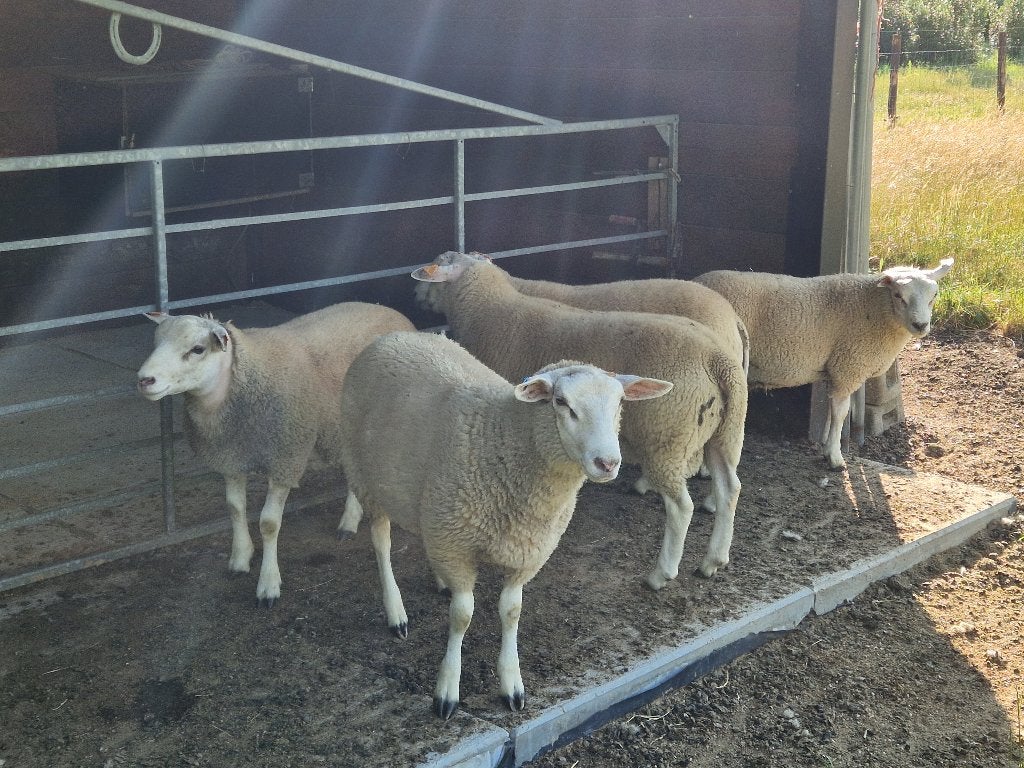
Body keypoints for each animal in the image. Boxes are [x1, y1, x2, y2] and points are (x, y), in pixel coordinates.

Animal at [136, 302, 416, 607]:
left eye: (197, 349)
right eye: (156, 342)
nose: (144, 380)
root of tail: (392, 312)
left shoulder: (285, 458)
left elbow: (269, 524)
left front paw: (268, 585)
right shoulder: (231, 458)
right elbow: (235, 508)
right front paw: (240, 558)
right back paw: (349, 522)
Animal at [338, 329, 672, 719]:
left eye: (620, 403)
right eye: (561, 402)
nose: (608, 463)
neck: (502, 438)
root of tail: (393, 335)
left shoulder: (525, 552)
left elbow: (511, 612)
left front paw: (512, 684)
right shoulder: (455, 544)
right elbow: (462, 616)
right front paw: (447, 690)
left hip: (427, 503)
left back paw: (439, 583)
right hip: (365, 476)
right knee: (381, 542)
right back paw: (396, 613)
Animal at [411, 253, 749, 593]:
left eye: (437, 266)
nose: (415, 296)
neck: (488, 305)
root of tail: (717, 357)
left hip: (667, 435)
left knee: (681, 506)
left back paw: (661, 573)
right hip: (724, 432)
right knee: (729, 487)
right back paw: (713, 560)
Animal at [693, 259, 954, 469]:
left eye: (934, 297)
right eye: (899, 296)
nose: (921, 325)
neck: (874, 307)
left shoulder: (836, 371)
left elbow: (831, 412)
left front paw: (829, 449)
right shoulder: (848, 367)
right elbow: (840, 413)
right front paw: (835, 457)